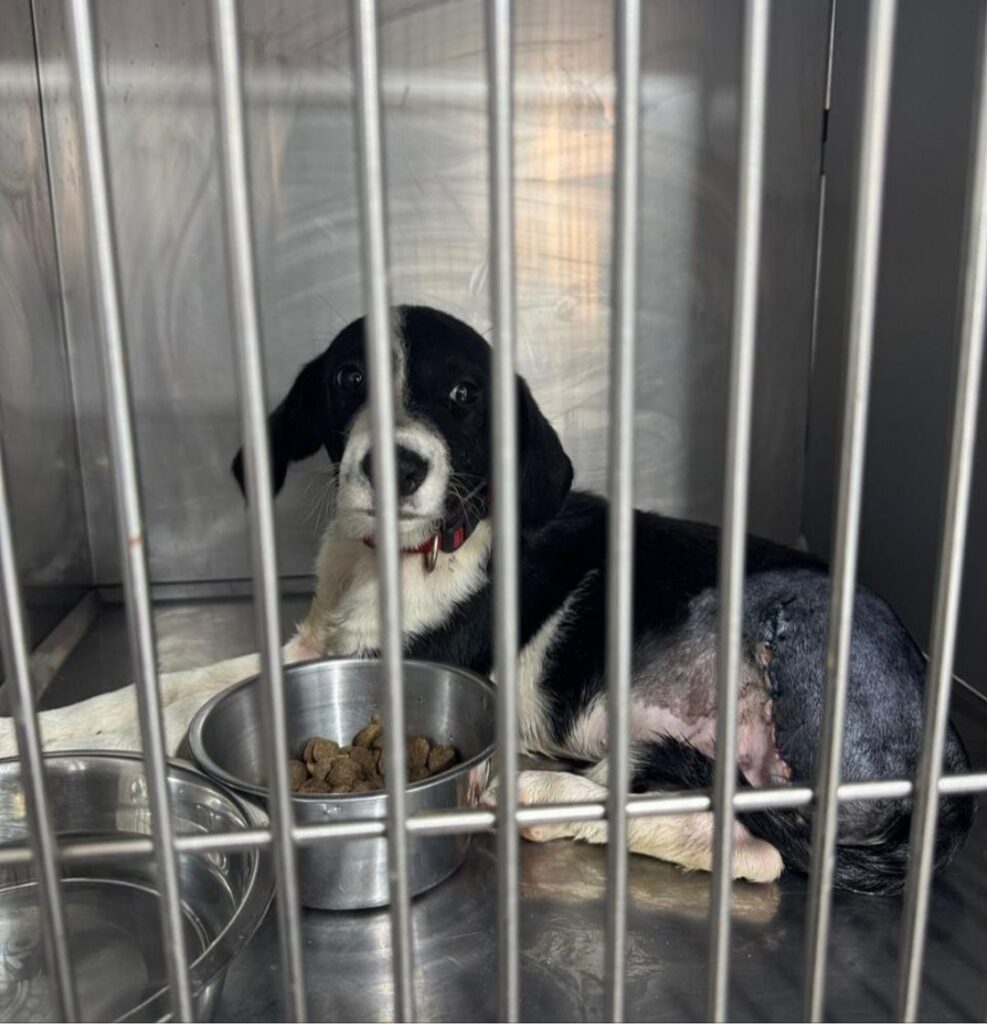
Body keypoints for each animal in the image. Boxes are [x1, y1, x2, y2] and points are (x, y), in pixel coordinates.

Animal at [3, 305, 974, 892]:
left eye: (465, 394)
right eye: (348, 380)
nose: (394, 467)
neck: (399, 558)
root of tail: (944, 765)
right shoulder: (310, 649)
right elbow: (169, 688)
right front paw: (38, 731)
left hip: (797, 620)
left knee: (760, 842)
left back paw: (526, 794)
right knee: (745, 845)